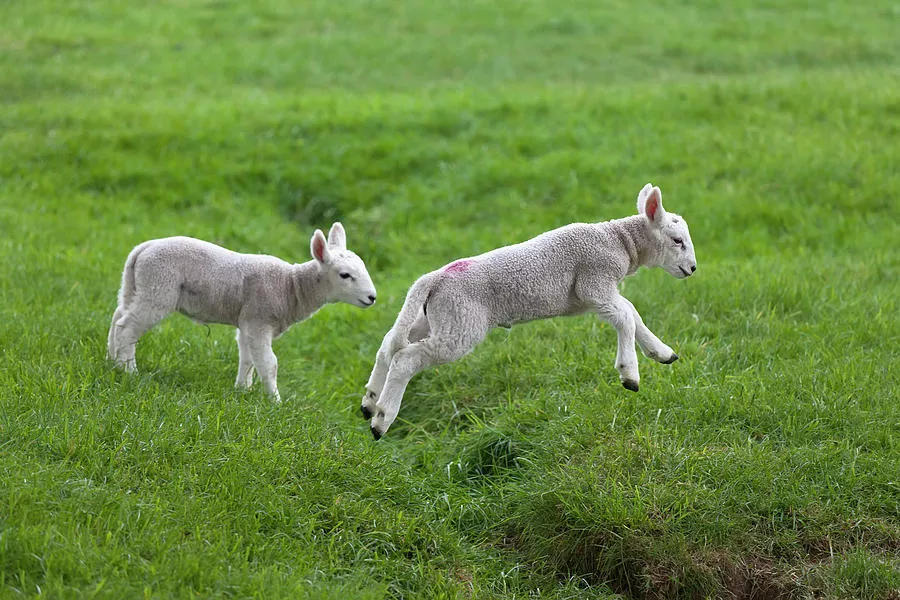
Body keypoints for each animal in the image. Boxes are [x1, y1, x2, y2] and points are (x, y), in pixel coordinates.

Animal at [109, 223, 376, 400]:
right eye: (345, 275)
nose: (372, 297)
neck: (291, 286)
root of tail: (143, 248)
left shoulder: (248, 322)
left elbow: (248, 358)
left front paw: (242, 390)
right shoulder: (259, 319)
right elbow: (269, 363)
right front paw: (275, 402)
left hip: (136, 284)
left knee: (118, 317)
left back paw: (111, 360)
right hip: (159, 288)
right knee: (128, 328)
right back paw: (129, 371)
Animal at [358, 182, 696, 436]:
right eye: (677, 240)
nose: (692, 269)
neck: (618, 241)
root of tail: (434, 278)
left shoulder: (596, 294)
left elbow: (632, 313)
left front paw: (662, 352)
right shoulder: (594, 281)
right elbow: (626, 315)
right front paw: (630, 374)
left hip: (436, 317)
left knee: (389, 344)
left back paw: (369, 402)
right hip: (461, 325)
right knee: (406, 358)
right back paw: (382, 420)